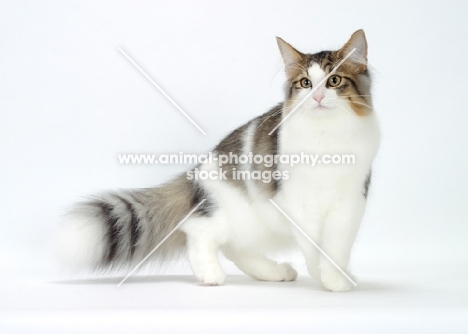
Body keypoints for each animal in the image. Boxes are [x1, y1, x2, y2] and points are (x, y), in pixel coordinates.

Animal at [56, 30, 380, 290]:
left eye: (334, 80)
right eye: (304, 83)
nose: (317, 98)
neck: (327, 137)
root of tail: (197, 171)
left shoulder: (350, 205)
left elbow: (336, 249)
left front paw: (337, 279)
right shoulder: (300, 206)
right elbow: (314, 249)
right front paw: (325, 277)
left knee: (236, 249)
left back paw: (274, 272)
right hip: (230, 210)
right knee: (197, 230)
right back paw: (210, 274)